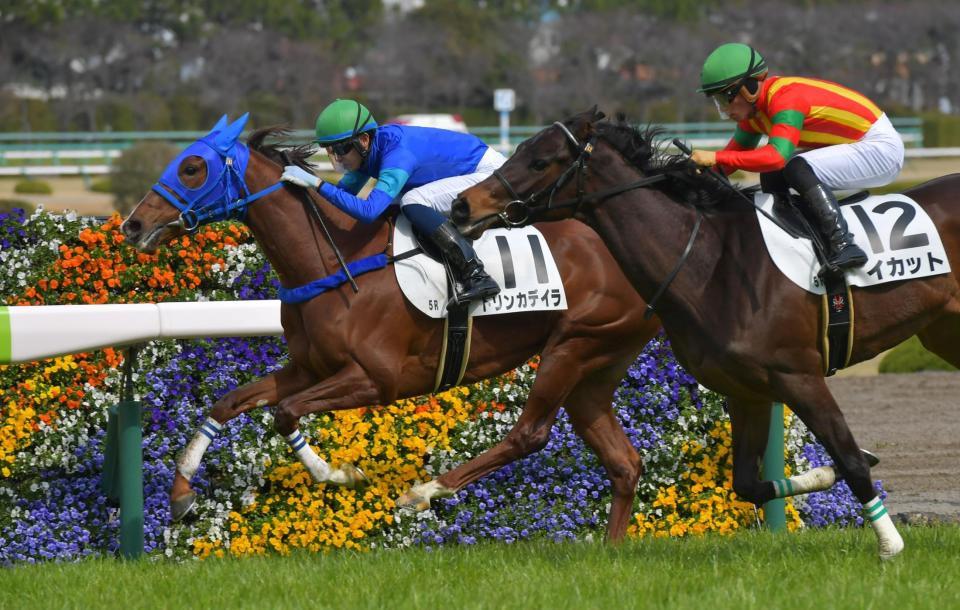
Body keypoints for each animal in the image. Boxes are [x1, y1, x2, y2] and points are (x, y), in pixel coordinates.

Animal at [118, 116, 660, 540]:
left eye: (192, 167)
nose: (132, 225)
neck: (339, 260)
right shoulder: (310, 368)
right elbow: (228, 403)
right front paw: (182, 493)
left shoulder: (378, 379)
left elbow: (286, 414)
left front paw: (340, 473)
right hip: (597, 364)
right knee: (623, 463)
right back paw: (610, 551)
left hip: (574, 344)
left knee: (531, 433)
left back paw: (424, 491)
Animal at [452, 108, 960, 556]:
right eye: (519, 150)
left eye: (540, 161)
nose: (461, 206)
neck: (711, 263)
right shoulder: (748, 389)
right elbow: (749, 483)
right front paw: (823, 478)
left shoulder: (799, 376)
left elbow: (850, 459)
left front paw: (890, 545)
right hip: (942, 333)